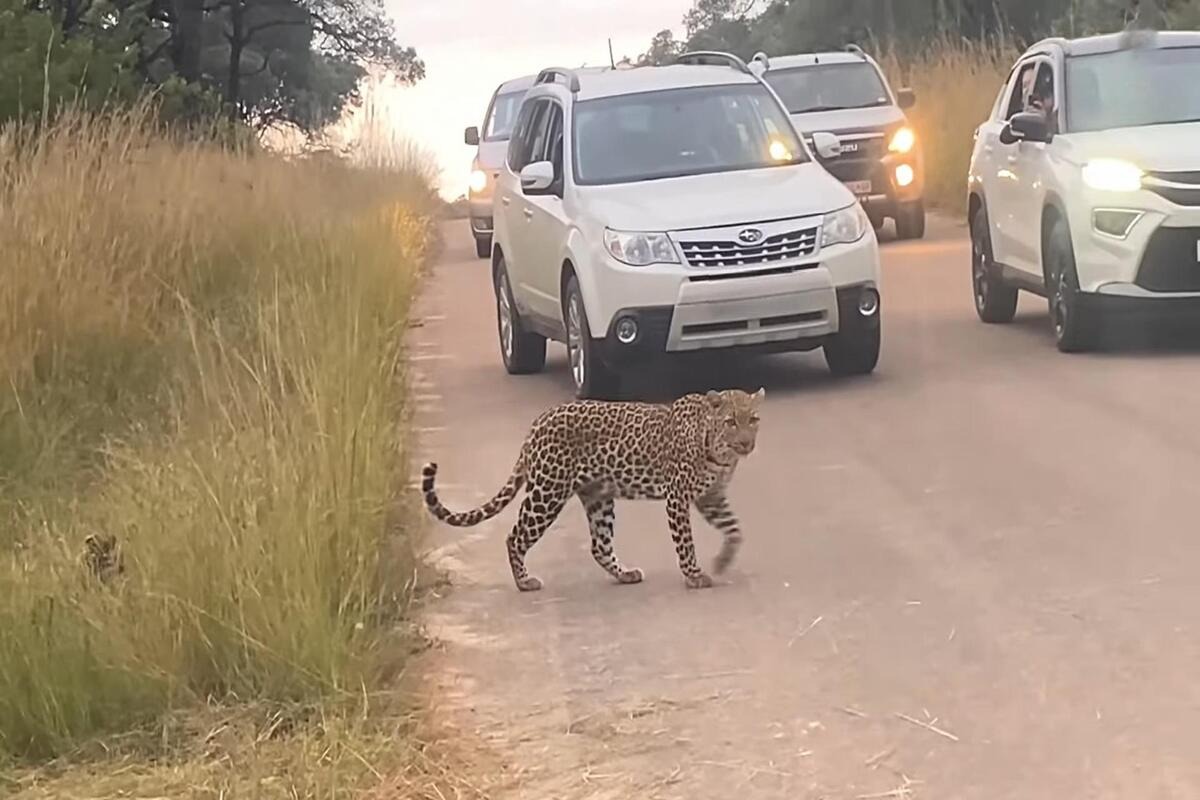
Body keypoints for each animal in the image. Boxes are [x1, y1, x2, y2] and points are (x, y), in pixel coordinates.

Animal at [421, 388, 763, 591]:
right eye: (731, 422)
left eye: (754, 419)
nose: (747, 443)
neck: (719, 453)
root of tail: (535, 425)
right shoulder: (677, 497)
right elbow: (685, 542)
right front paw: (694, 575)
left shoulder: (710, 496)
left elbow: (734, 529)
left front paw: (723, 561)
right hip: (547, 492)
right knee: (515, 536)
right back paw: (525, 581)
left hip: (598, 497)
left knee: (599, 545)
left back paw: (625, 574)